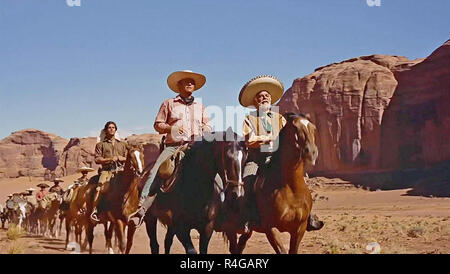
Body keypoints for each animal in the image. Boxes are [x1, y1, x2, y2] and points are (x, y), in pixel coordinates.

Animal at [236, 112, 320, 254]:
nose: (311, 152)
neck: (291, 189)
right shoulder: (270, 228)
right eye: (295, 128)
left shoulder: (299, 228)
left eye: (313, 128)